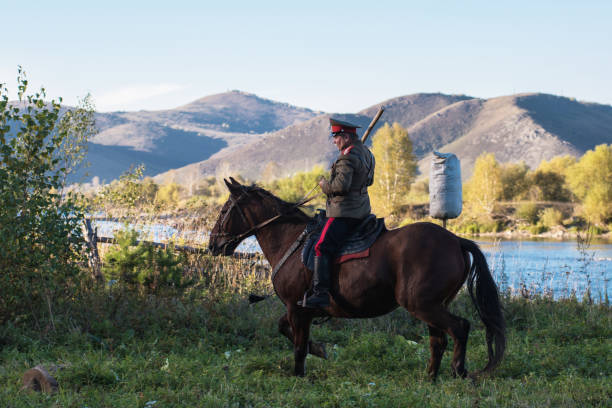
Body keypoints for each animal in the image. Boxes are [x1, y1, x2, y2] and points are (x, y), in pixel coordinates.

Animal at [208, 178, 504, 380]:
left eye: (223, 211)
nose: (213, 245)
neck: (290, 239)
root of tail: (456, 240)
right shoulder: (301, 308)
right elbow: (285, 330)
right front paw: (319, 350)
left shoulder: (296, 308)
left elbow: (299, 347)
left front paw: (299, 374)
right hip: (433, 305)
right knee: (438, 340)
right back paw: (430, 377)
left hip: (423, 304)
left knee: (459, 328)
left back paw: (459, 371)